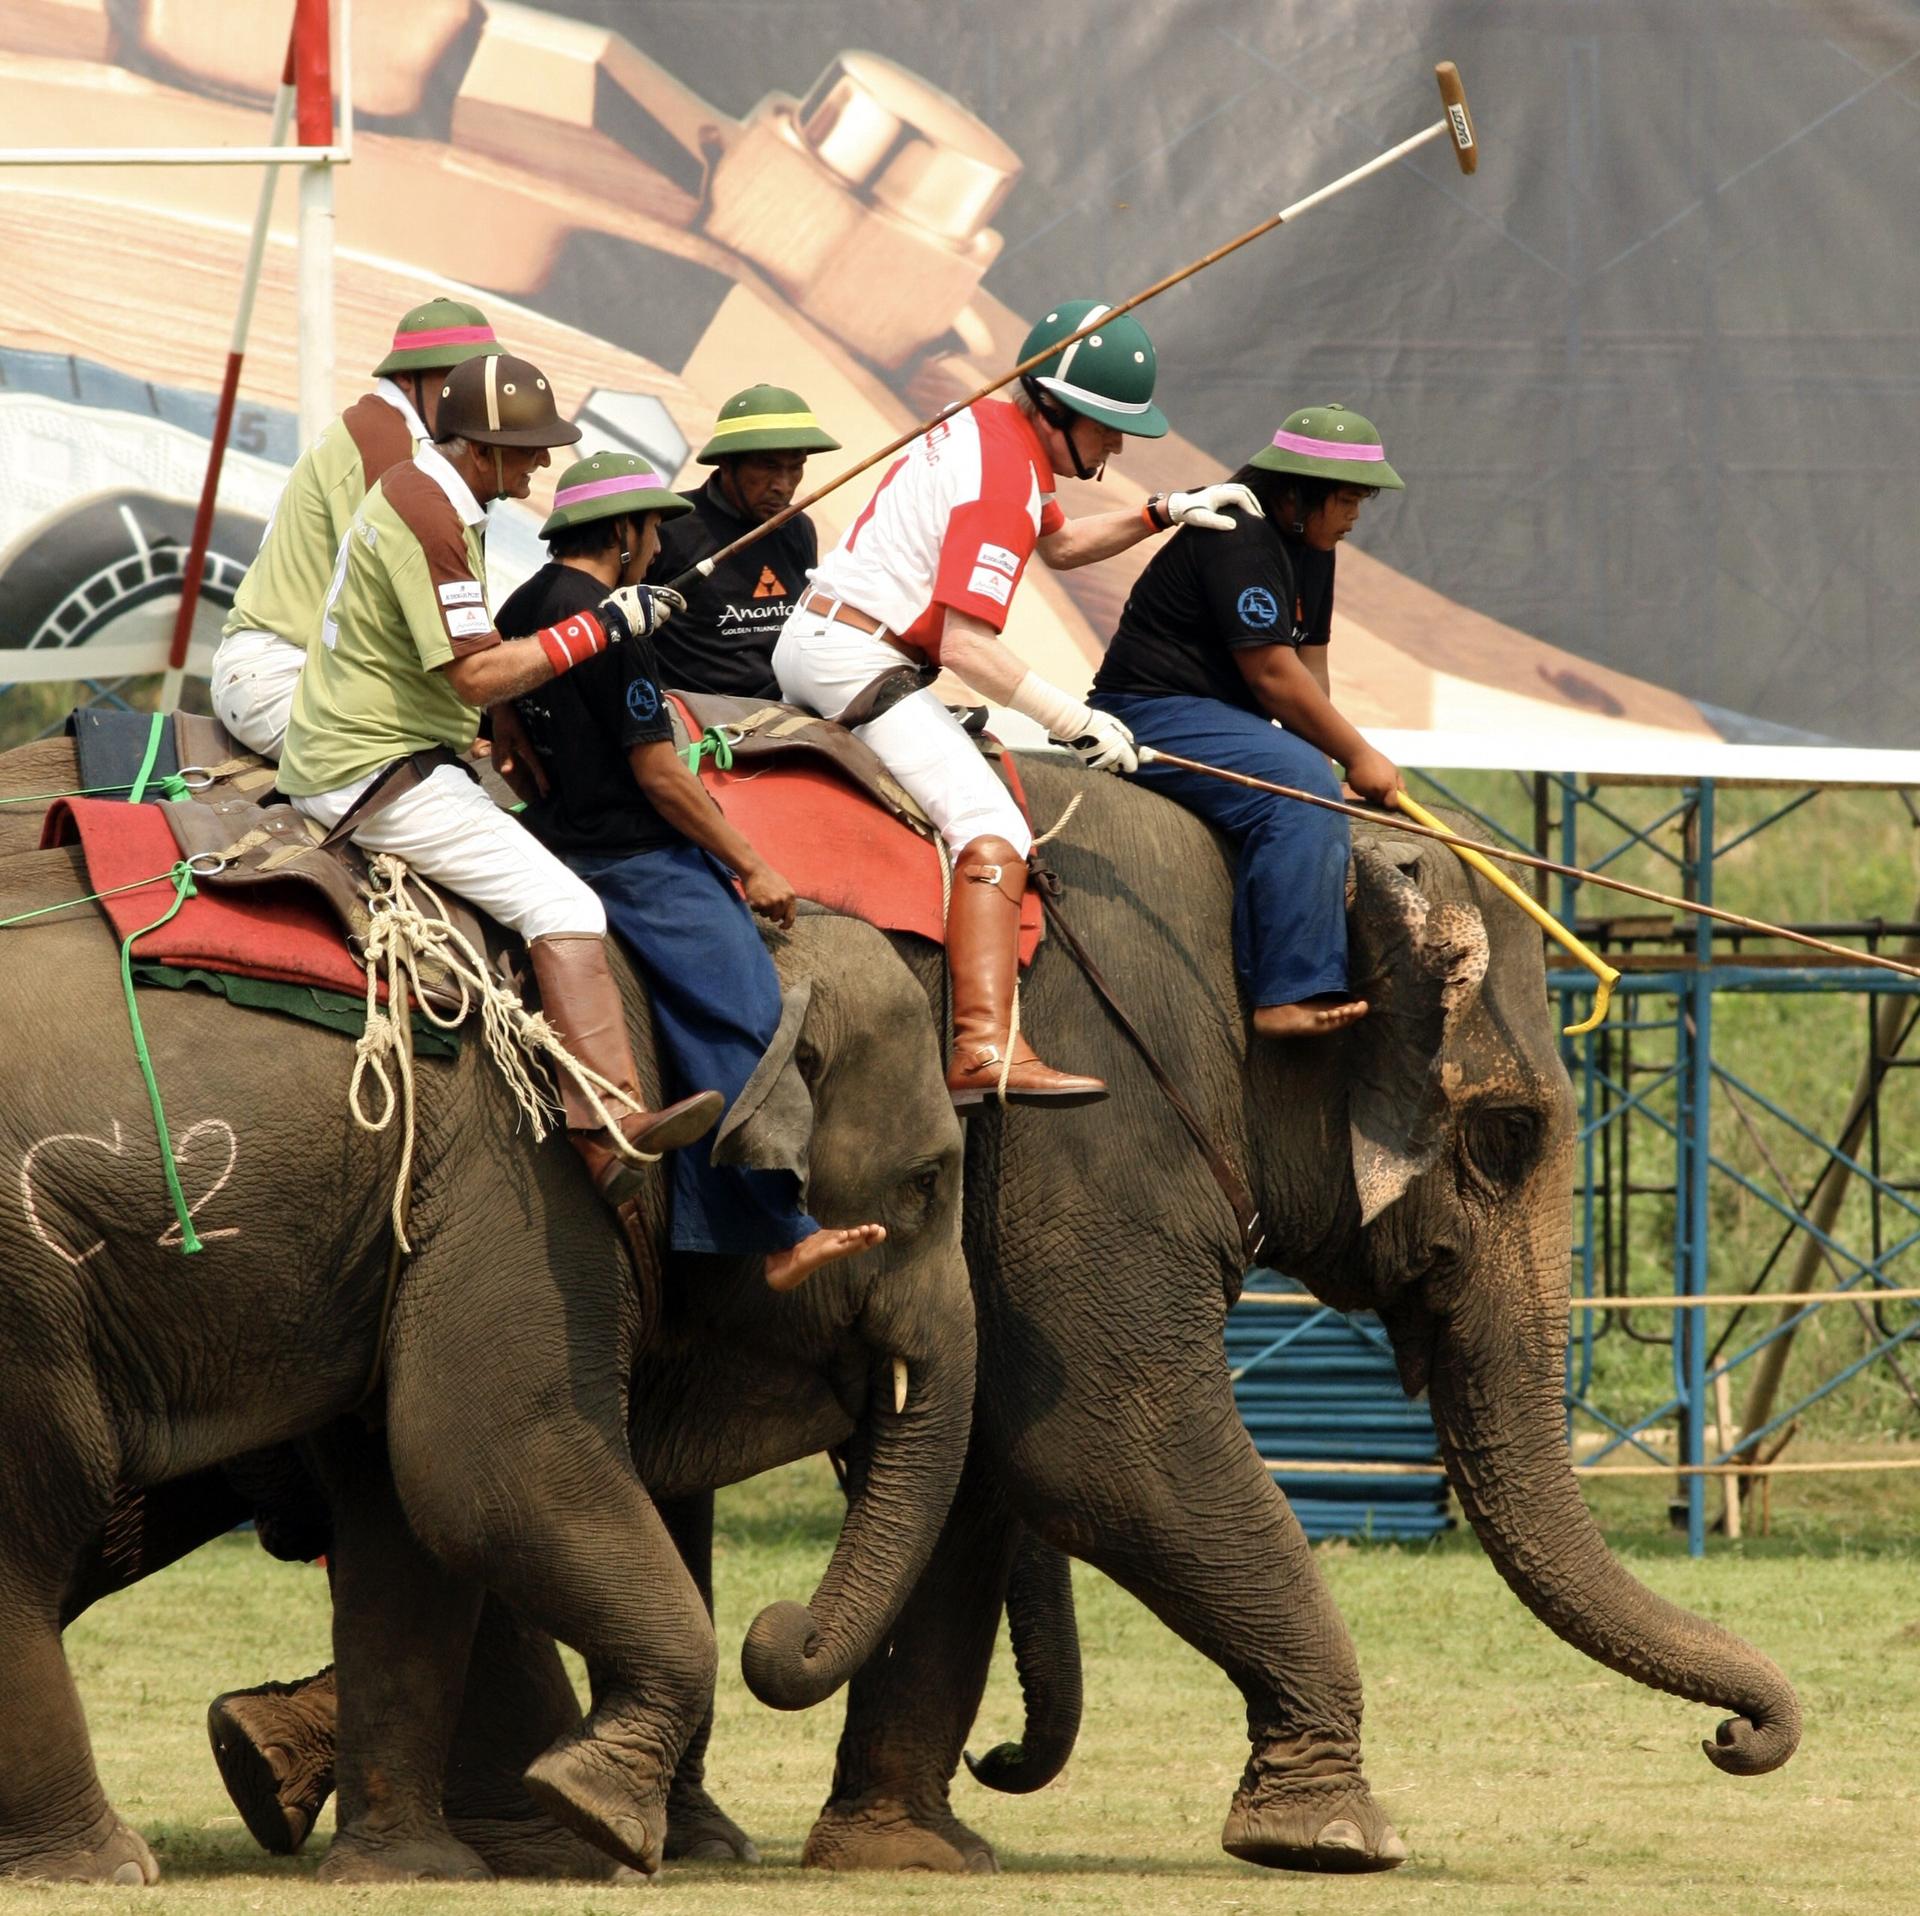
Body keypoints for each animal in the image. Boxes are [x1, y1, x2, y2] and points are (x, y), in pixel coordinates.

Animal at [0, 800, 973, 1885]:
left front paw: (413, 1872)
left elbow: (400, 1504)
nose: (784, 1626)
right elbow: (489, 1464)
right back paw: (98, 1866)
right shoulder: (528, 1165)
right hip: (23, 1270)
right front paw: (599, 1817)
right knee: (36, 1520)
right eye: (928, 1180)